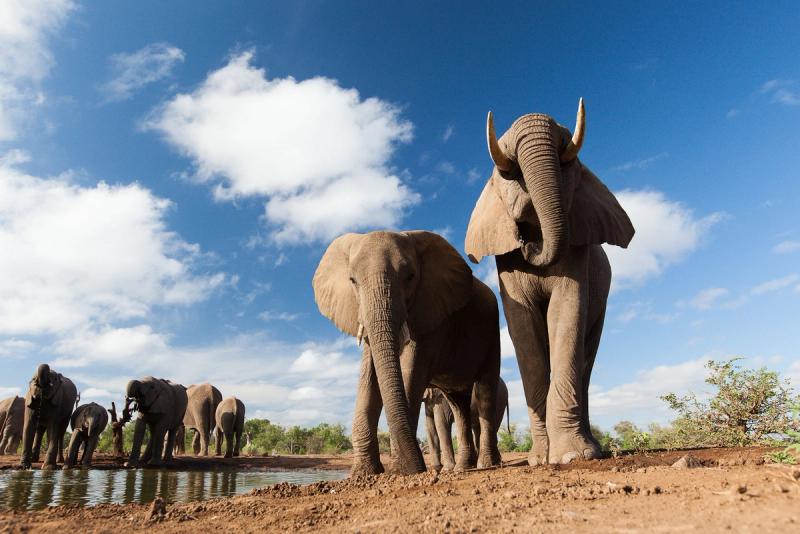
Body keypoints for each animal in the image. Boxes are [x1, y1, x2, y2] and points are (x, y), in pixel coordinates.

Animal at [313, 230, 502, 475]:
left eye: (411, 277)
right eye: (352, 280)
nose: (421, 468)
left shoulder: (431, 312)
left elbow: (410, 374)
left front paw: (401, 471)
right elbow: (369, 377)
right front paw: (363, 473)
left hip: (492, 330)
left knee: (485, 393)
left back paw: (486, 464)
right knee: (458, 404)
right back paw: (461, 469)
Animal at [465, 100, 635, 465]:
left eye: (568, 165)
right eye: (508, 174)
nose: (530, 245)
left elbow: (565, 313)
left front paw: (571, 457)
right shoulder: (506, 262)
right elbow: (523, 327)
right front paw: (540, 459)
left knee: (586, 359)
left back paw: (592, 449)